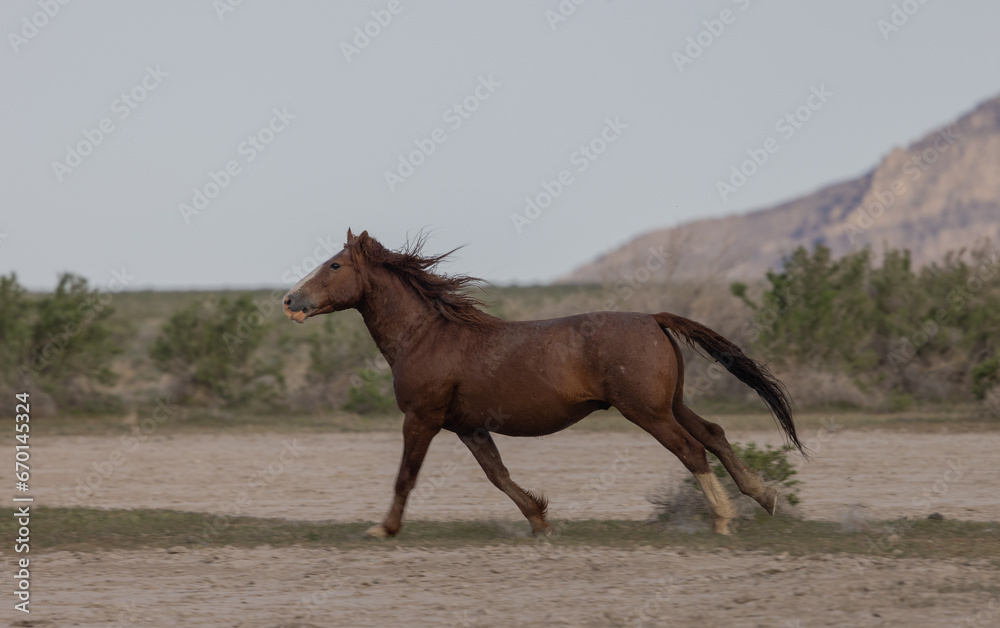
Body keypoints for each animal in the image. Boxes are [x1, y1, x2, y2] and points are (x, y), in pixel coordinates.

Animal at [283, 229, 802, 536]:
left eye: (334, 265)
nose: (290, 300)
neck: (426, 335)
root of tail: (653, 318)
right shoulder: (468, 426)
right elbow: (498, 475)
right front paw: (539, 519)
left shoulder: (421, 418)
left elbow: (406, 476)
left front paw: (384, 529)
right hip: (669, 404)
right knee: (713, 434)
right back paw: (765, 497)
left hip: (647, 412)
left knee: (692, 450)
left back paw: (724, 519)